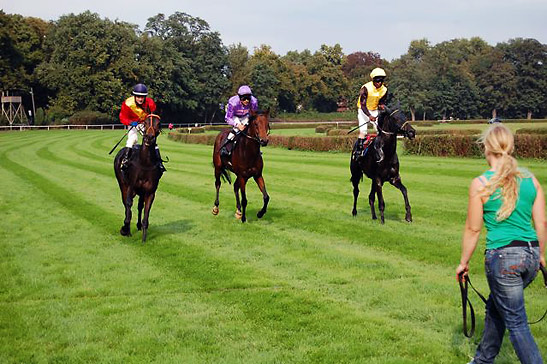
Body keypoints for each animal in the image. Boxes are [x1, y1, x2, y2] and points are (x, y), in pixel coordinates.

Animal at [112, 114, 162, 242]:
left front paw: (144, 236)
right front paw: (125, 229)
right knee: (125, 203)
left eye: (158, 123)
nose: (149, 137)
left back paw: (138, 225)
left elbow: (146, 210)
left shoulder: (150, 192)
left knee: (140, 206)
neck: (145, 163)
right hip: (122, 184)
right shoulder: (131, 186)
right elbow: (128, 205)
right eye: (145, 122)